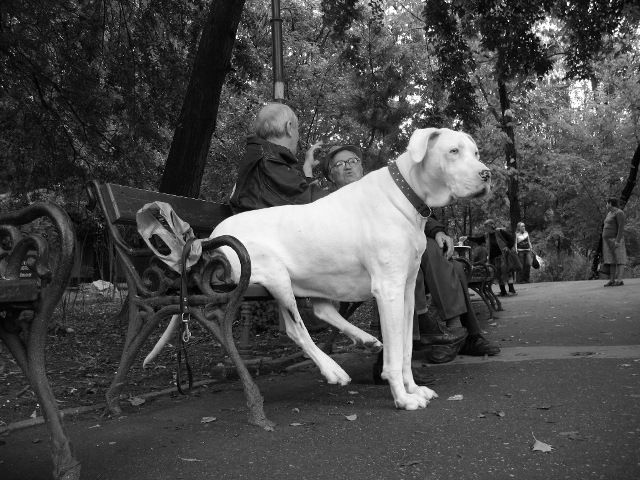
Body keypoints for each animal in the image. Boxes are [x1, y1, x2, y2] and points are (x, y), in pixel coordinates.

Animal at [149, 128, 490, 412]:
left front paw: (412, 387)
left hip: (317, 280)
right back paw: (332, 369)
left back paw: (364, 339)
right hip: (276, 276)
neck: (405, 195)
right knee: (297, 328)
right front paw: (402, 398)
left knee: (321, 312)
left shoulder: (405, 290)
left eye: (475, 152)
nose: (486, 174)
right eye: (453, 151)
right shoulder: (389, 290)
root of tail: (211, 236)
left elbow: (404, 348)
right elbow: (395, 355)